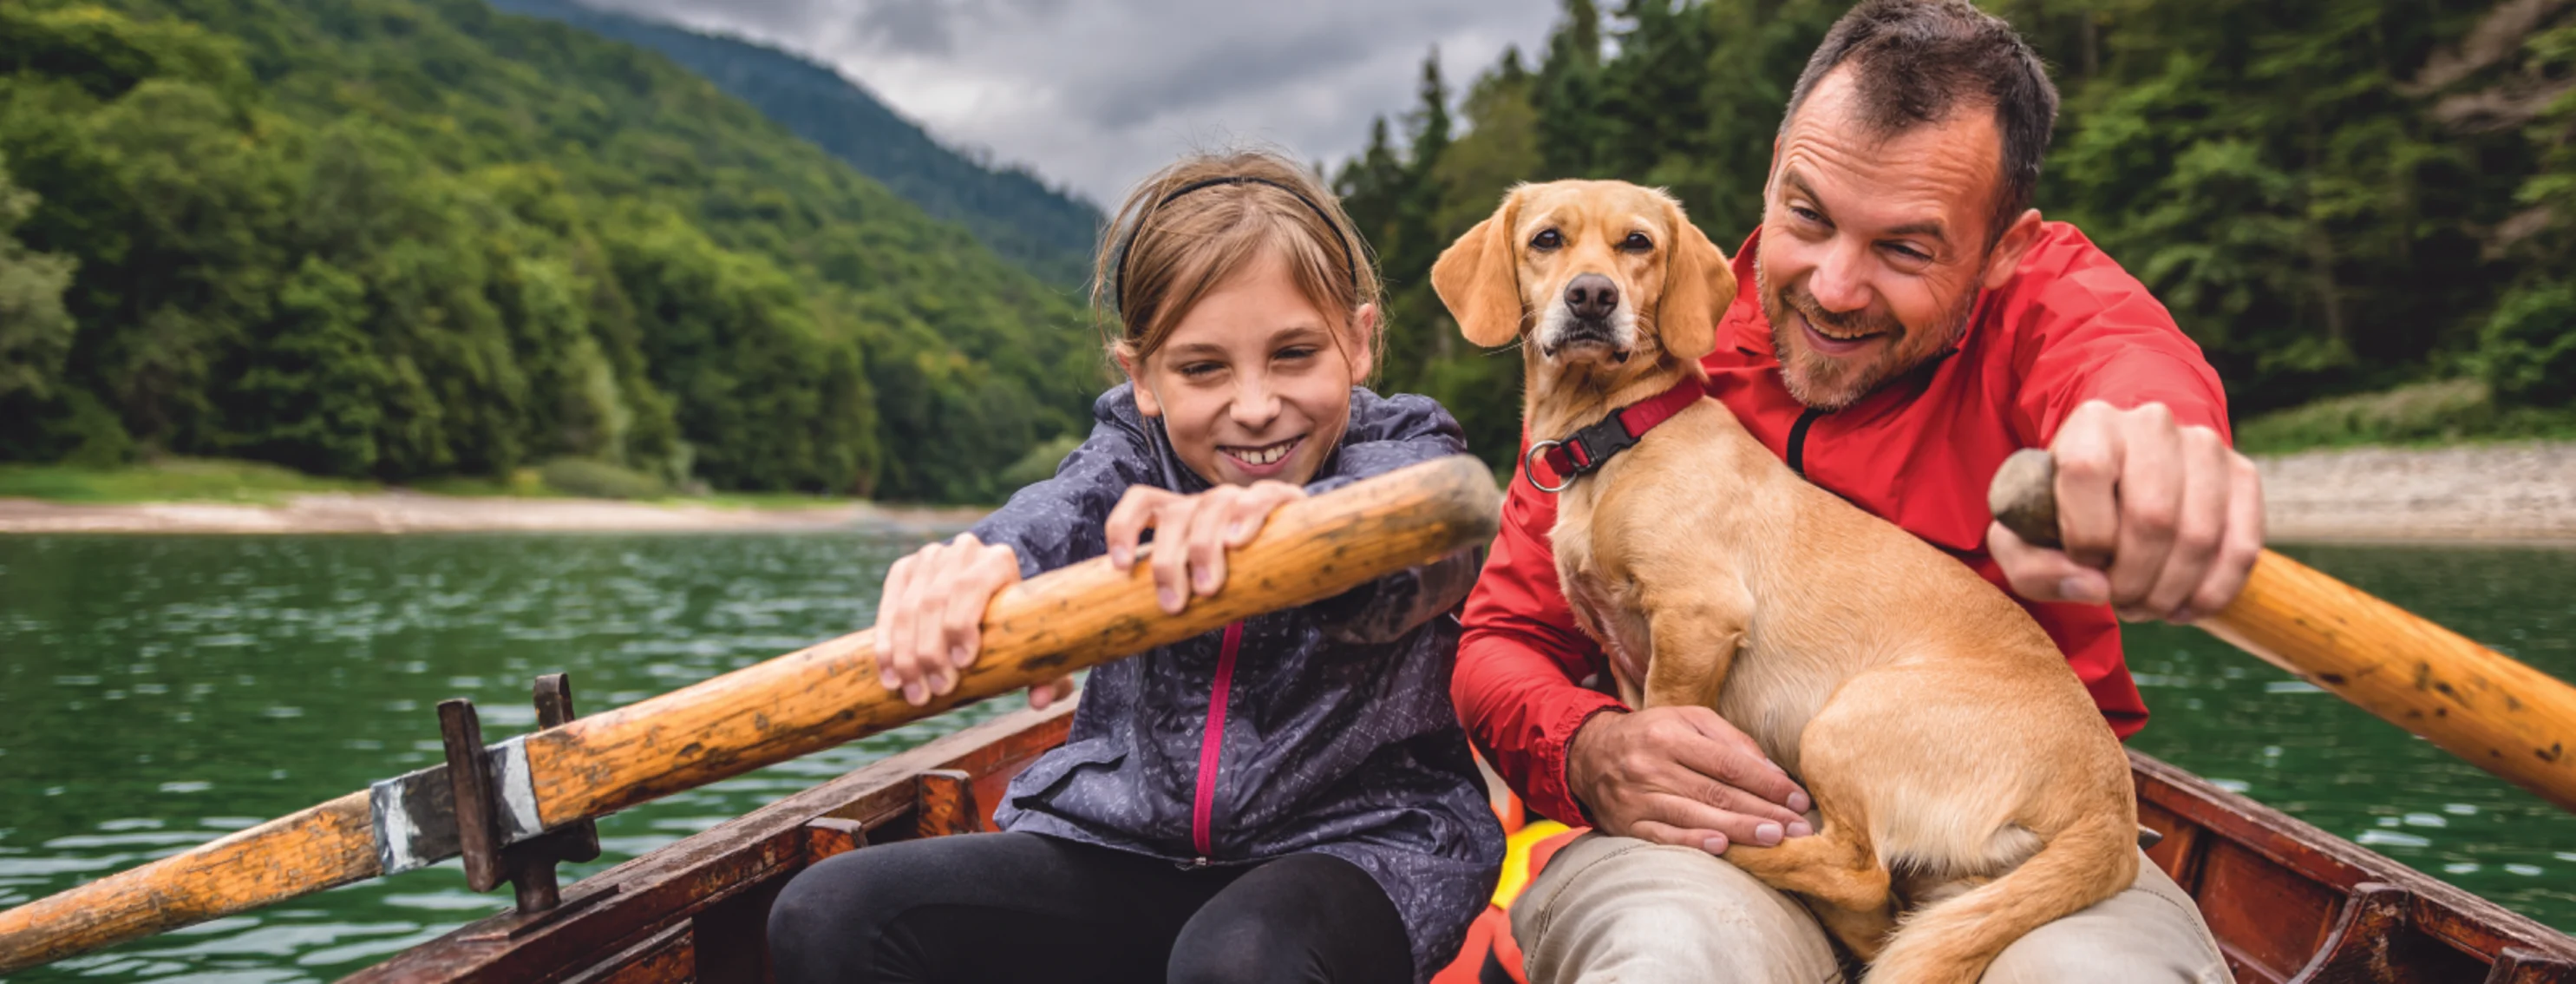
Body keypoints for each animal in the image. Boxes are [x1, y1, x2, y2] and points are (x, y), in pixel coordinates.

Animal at [1442, 180, 2143, 979]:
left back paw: (1738, 846)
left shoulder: (1696, 617)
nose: (1592, 296)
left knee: (1859, 869)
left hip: (1843, 720)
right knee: (1878, 905)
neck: (1618, 430)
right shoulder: (1622, 656)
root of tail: (2110, 811)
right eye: (1547, 239)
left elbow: (1669, 716)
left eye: (1638, 243)